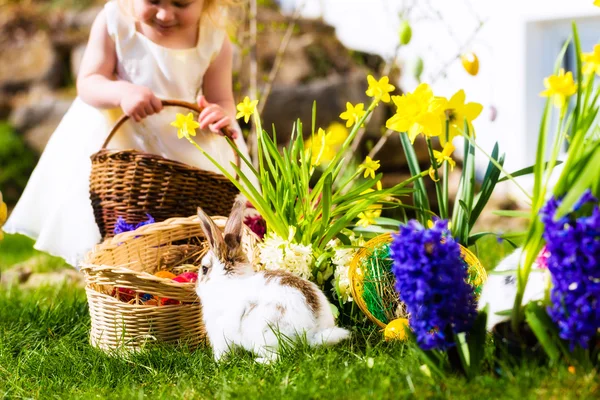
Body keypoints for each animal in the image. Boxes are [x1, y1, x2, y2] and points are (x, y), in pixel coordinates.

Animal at [195, 202, 350, 364]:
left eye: (204, 269)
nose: (197, 288)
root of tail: (313, 332)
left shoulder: (220, 335)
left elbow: (222, 352)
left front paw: (218, 363)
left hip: (260, 334)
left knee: (280, 357)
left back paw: (258, 361)